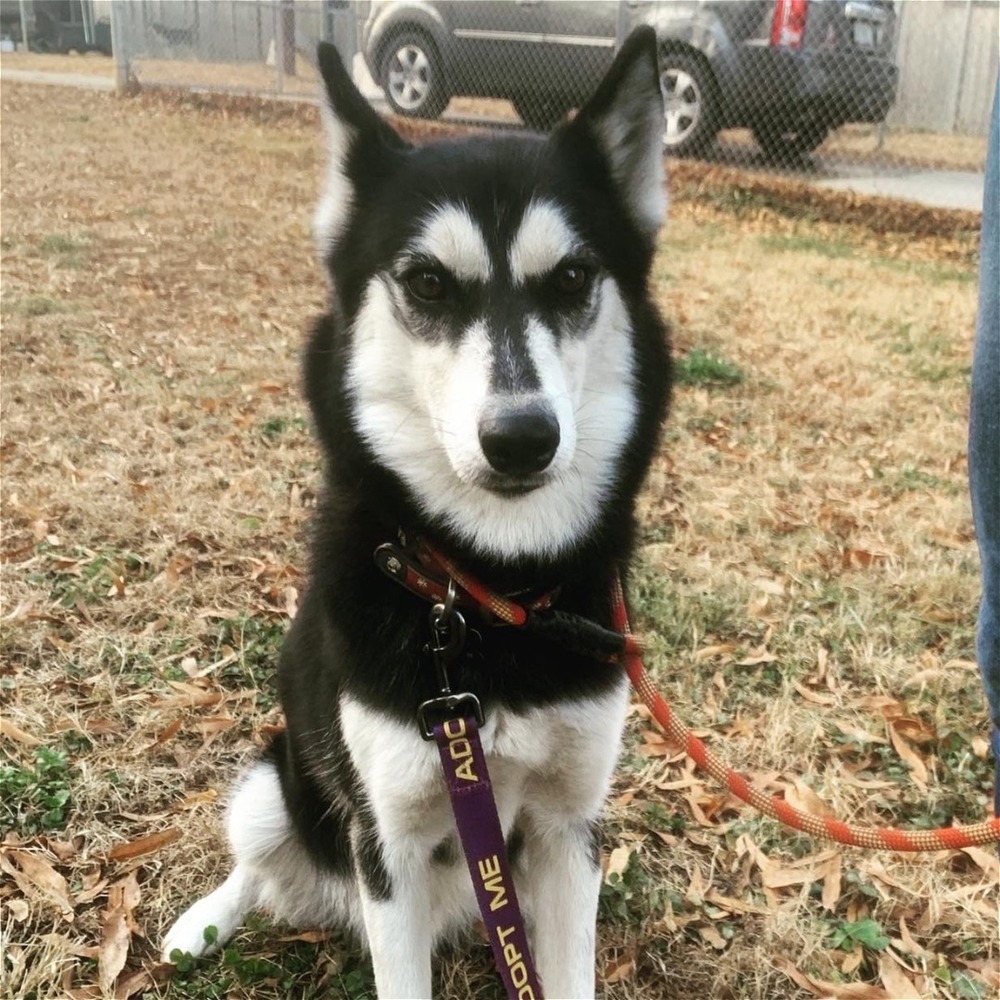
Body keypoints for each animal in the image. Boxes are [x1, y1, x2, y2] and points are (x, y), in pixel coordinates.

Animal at [162, 25, 672, 1000]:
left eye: (574, 277)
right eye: (429, 283)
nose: (522, 438)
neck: (482, 595)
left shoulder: (569, 831)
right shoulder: (389, 844)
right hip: (274, 782)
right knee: (254, 861)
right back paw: (199, 923)